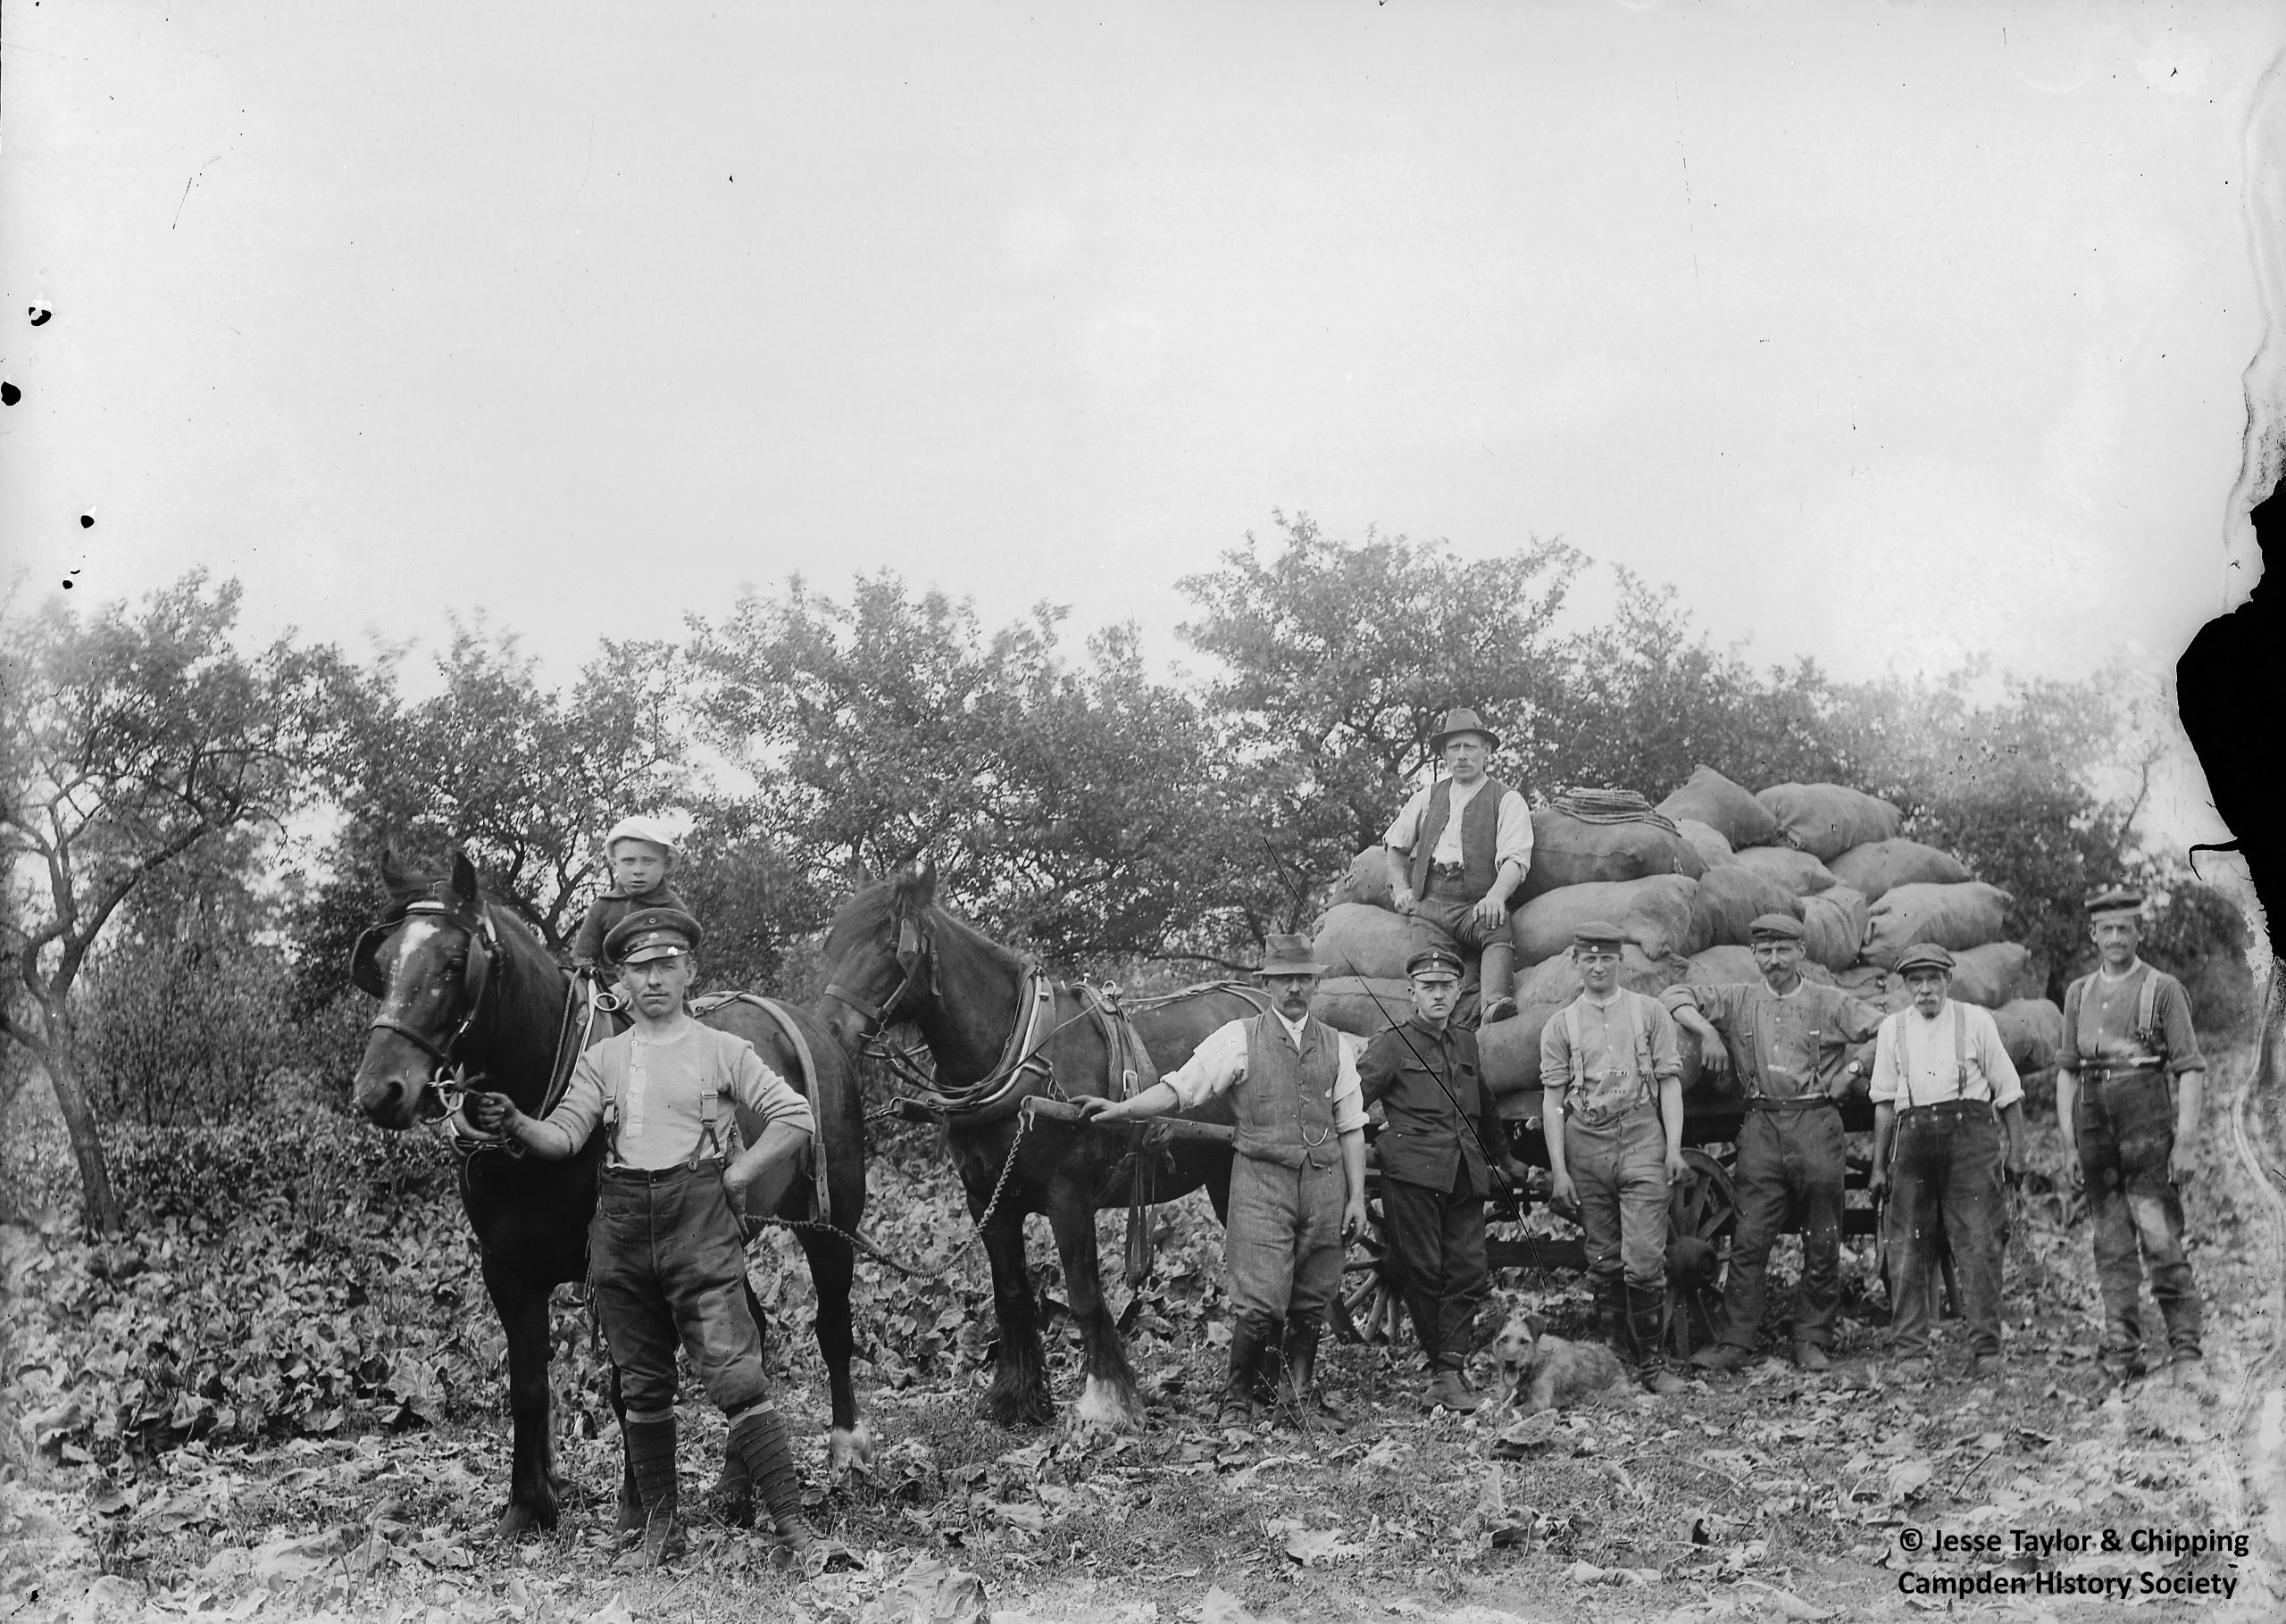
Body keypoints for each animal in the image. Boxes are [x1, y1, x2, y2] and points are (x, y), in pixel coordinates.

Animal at [349, 849, 872, 1535]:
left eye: (454, 964)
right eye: (382, 962)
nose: (379, 1090)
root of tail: (818, 1029)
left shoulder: (620, 1266)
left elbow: (633, 1383)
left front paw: (636, 1506)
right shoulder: (506, 1269)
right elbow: (528, 1386)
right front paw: (528, 1505)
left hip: (830, 1220)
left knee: (833, 1326)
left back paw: (845, 1451)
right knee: (747, 1341)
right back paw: (735, 1485)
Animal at [813, 872, 1271, 1425]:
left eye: (889, 948)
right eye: (835, 945)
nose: (826, 1031)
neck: (1017, 1056)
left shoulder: (1068, 1197)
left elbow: (1084, 1294)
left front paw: (1108, 1401)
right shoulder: (986, 1200)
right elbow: (1011, 1295)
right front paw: (1018, 1396)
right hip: (1225, 1175)